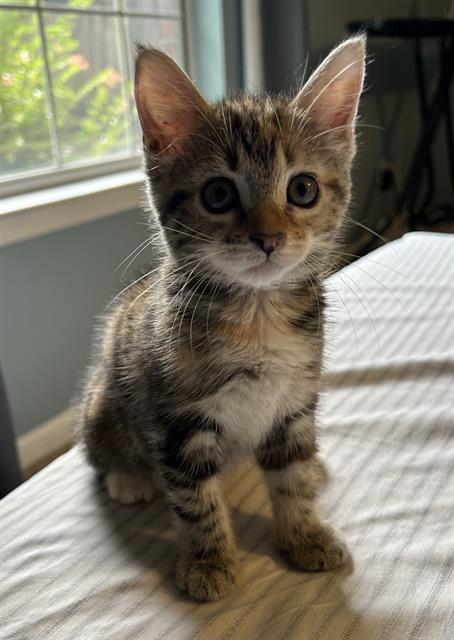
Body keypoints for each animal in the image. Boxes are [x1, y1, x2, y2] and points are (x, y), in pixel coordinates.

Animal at [77, 37, 366, 604]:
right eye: (217, 194)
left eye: (302, 189)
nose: (269, 238)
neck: (257, 318)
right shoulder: (178, 421)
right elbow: (195, 499)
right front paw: (208, 561)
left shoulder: (295, 400)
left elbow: (291, 475)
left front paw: (304, 534)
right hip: (104, 399)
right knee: (101, 451)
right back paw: (128, 478)